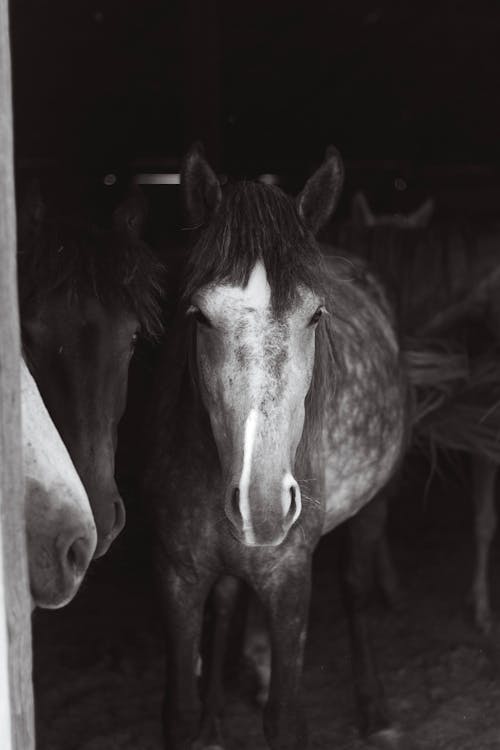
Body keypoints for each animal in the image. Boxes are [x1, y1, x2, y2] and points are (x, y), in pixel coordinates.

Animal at [146, 147, 412, 750]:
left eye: (315, 314)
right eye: (199, 315)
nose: (261, 506)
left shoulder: (290, 581)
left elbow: (285, 717)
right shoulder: (177, 579)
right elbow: (178, 710)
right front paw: (205, 722)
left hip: (375, 504)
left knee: (355, 588)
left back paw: (376, 708)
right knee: (227, 603)